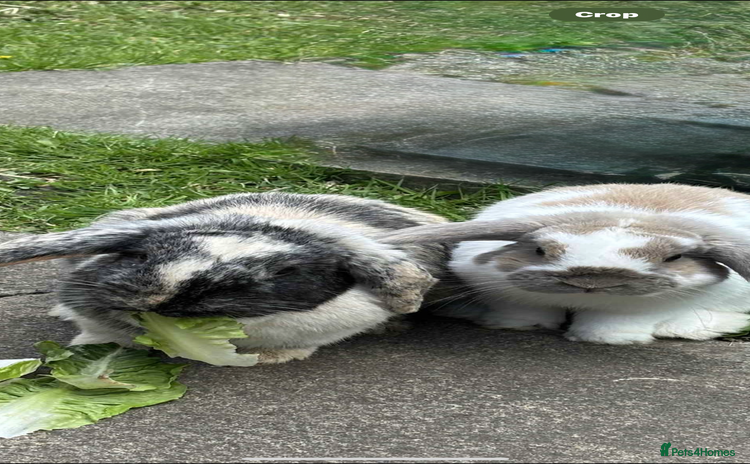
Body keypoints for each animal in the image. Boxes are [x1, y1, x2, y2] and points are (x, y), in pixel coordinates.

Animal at [379, 183, 750, 345]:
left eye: (674, 258)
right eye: (540, 250)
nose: (591, 279)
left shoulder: (633, 312)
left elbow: (607, 329)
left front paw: (609, 340)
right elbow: (523, 314)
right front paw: (518, 326)